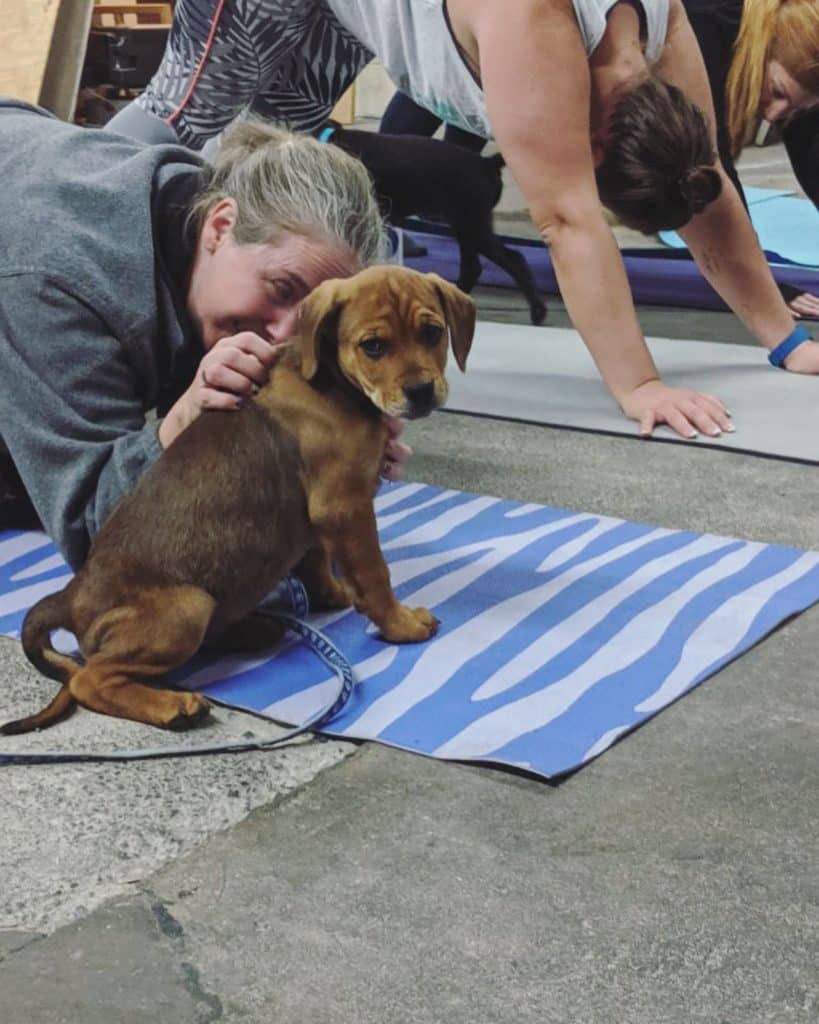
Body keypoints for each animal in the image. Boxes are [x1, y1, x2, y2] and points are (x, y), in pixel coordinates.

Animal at [3, 268, 472, 733]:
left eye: (432, 333)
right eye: (372, 346)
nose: (421, 391)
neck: (334, 385)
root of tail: (70, 596)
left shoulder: (317, 513)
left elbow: (318, 559)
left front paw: (334, 594)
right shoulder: (344, 504)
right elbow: (375, 576)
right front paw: (401, 623)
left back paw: (251, 631)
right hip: (188, 607)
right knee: (90, 679)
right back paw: (174, 706)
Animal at [323, 122, 548, 323]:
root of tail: (486, 163)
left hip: (473, 226)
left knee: (514, 259)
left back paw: (537, 311)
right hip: (466, 226)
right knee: (472, 268)